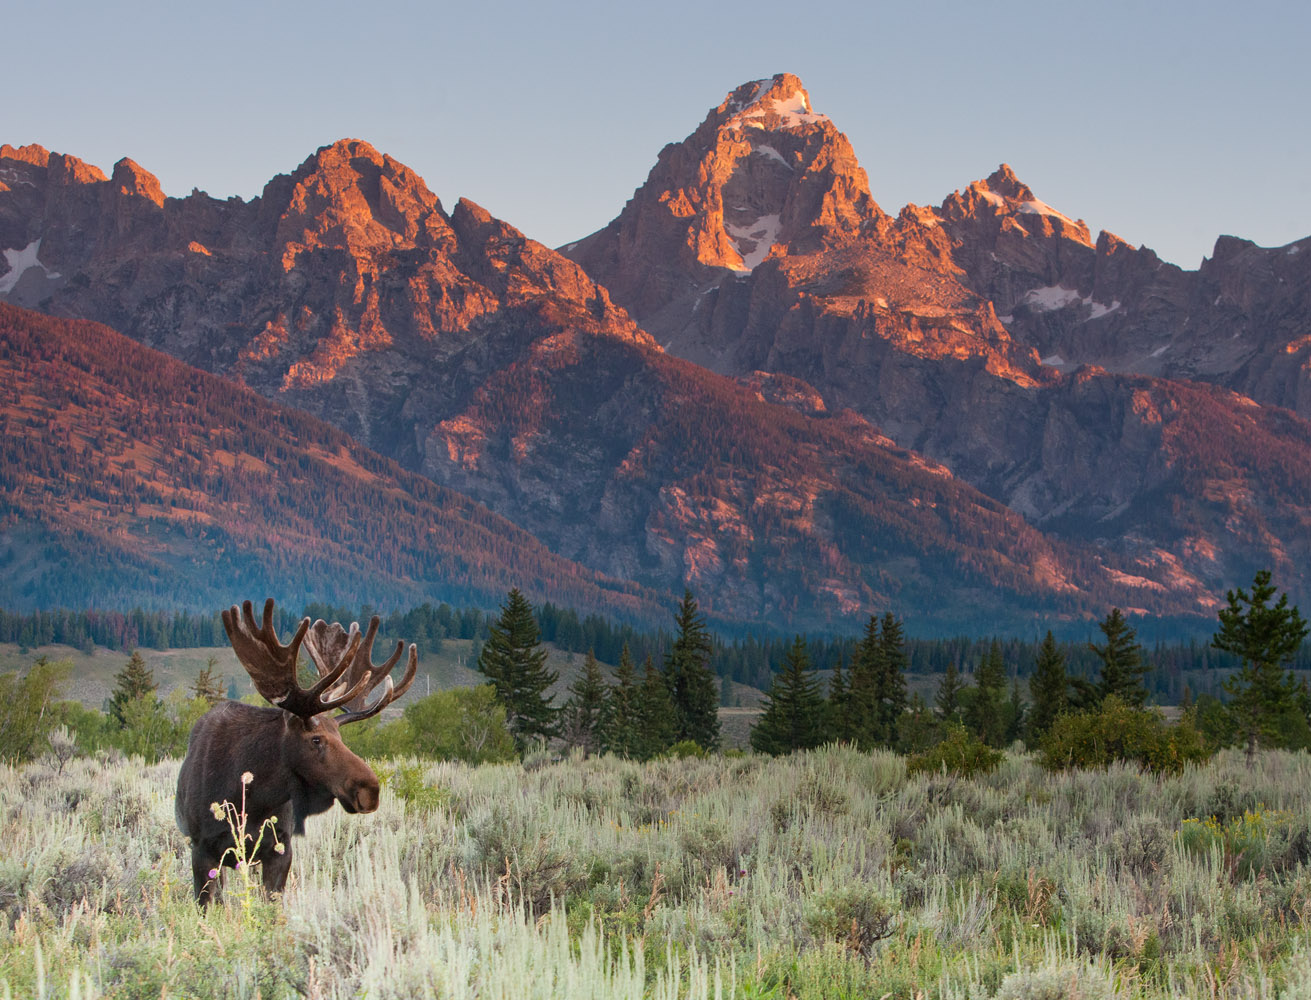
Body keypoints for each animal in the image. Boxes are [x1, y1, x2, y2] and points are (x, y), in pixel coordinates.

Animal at [173, 602, 409, 906]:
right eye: (316, 739)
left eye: (341, 736)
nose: (370, 790)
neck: (251, 797)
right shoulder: (201, 848)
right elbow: (205, 904)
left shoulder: (281, 848)